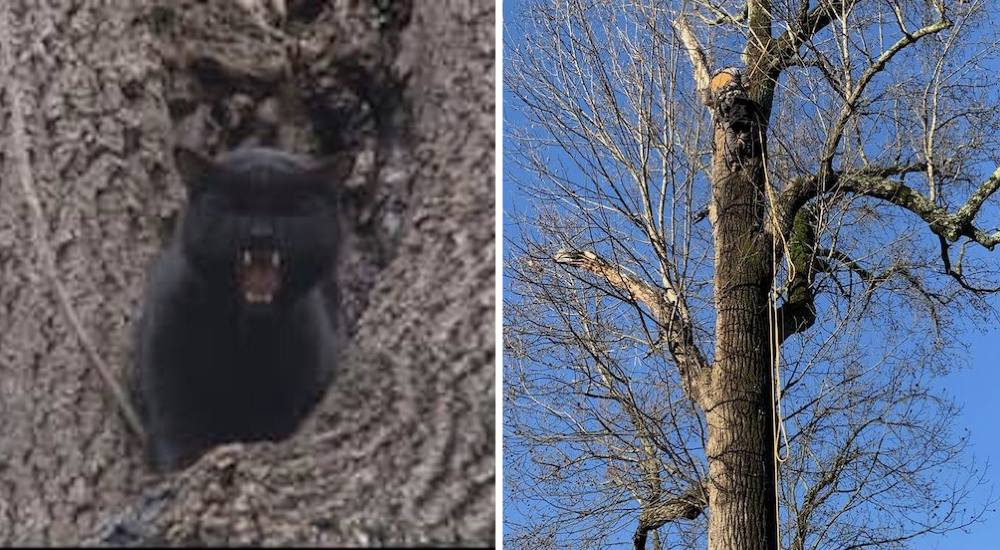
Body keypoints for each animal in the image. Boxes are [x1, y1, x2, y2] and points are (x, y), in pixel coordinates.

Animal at [133, 148, 352, 474]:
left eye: (291, 209)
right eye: (234, 206)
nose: (261, 233)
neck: (243, 336)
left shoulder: (299, 376)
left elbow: (274, 421)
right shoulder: (164, 353)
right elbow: (174, 419)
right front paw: (180, 464)